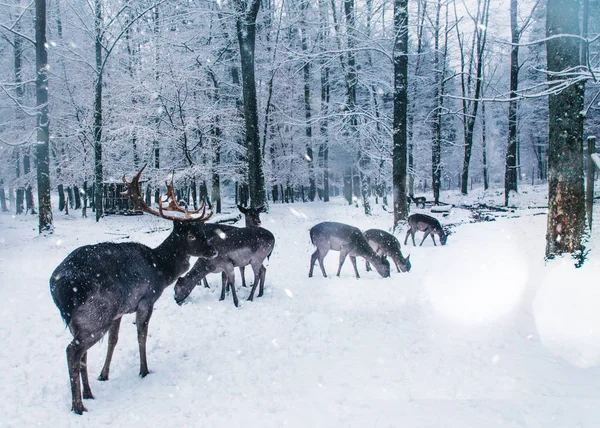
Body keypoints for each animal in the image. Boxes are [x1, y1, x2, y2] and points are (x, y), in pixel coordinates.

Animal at [48, 166, 218, 414]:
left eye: (203, 230)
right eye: (191, 235)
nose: (214, 250)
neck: (161, 268)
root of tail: (59, 286)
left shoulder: (119, 310)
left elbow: (113, 340)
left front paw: (104, 374)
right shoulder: (146, 299)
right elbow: (141, 335)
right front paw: (144, 370)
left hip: (80, 320)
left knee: (82, 354)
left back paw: (88, 393)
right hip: (95, 314)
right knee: (72, 351)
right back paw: (78, 406)